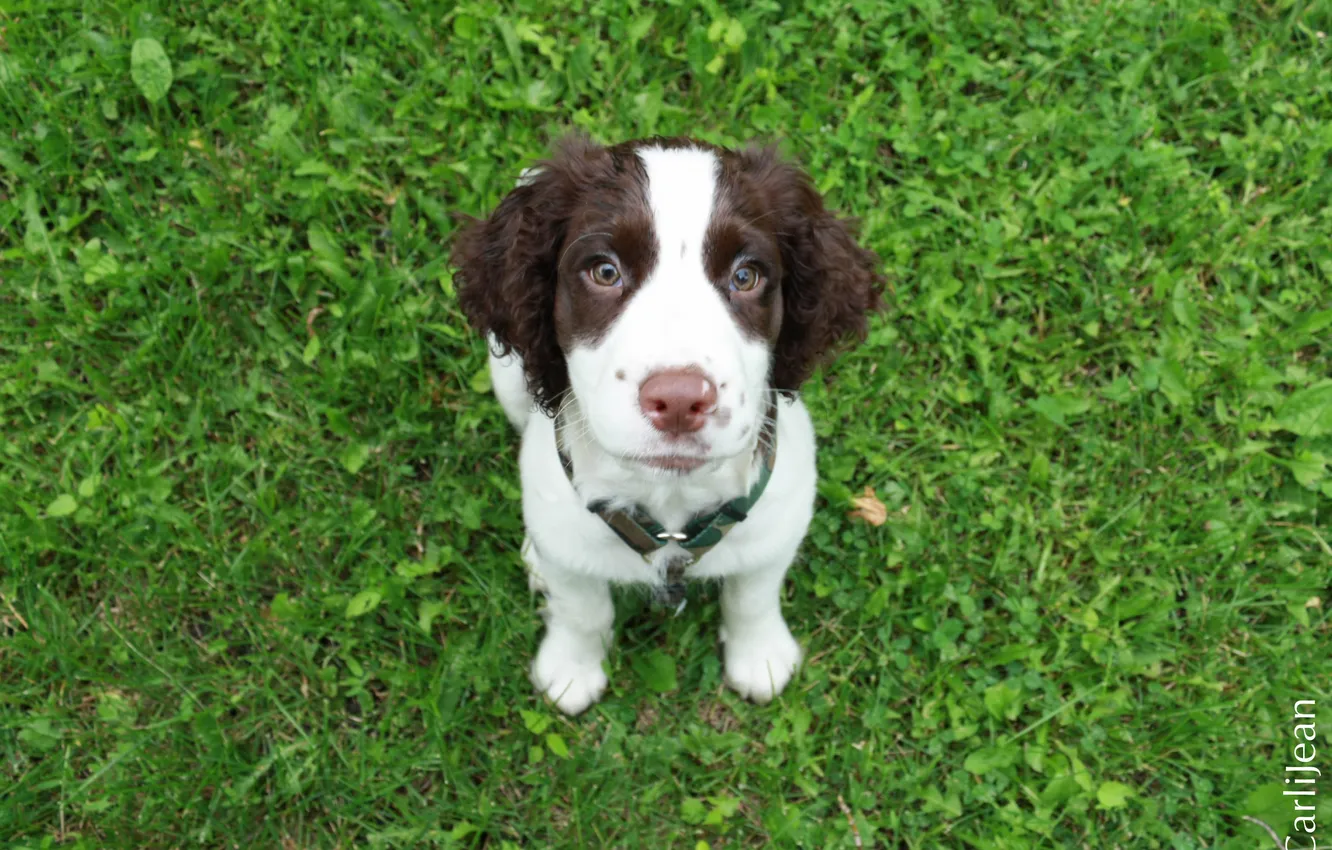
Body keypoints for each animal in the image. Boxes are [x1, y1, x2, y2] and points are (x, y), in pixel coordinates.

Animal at [452, 136, 879, 714]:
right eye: (604, 271)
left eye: (746, 276)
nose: (678, 401)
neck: (670, 503)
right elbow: (580, 607)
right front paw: (570, 670)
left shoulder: (779, 517)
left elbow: (754, 593)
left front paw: (760, 657)